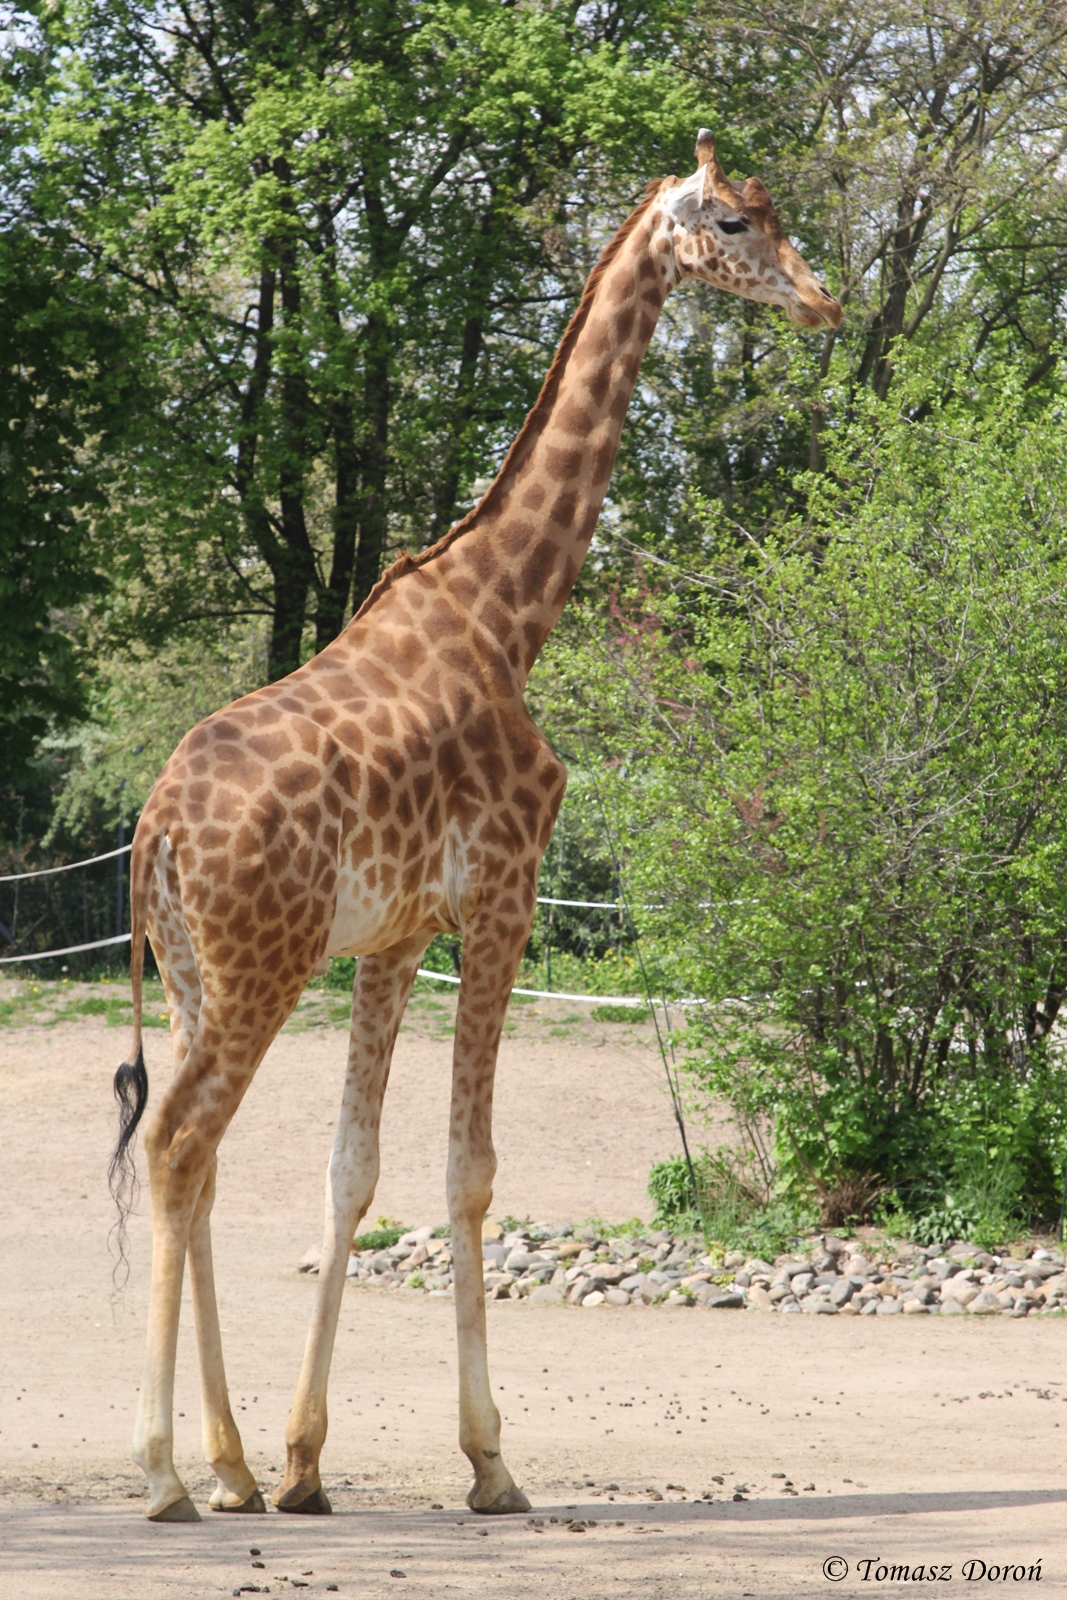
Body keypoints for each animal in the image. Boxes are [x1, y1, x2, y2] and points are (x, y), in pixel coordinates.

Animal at [112, 130, 840, 1524]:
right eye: (732, 220)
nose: (820, 301)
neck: (509, 612)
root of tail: (155, 832)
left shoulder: (398, 937)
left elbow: (351, 1170)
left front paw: (303, 1462)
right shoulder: (502, 896)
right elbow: (471, 1169)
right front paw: (491, 1460)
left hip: (192, 974)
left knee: (200, 1160)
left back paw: (228, 1464)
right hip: (258, 969)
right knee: (176, 1146)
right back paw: (168, 1471)